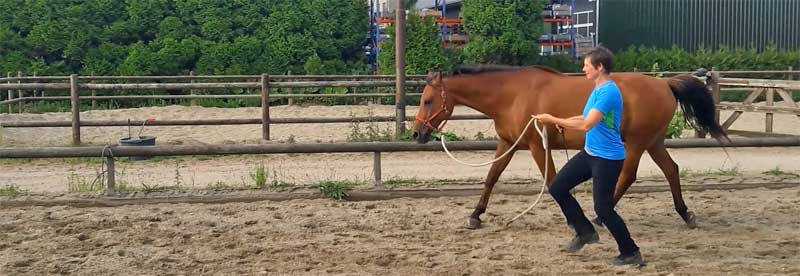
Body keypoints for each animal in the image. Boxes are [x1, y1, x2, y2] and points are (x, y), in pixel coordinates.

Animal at [416, 66, 728, 230]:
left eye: (428, 100)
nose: (418, 132)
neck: (511, 95)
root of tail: (665, 83)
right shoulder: (508, 144)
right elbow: (491, 177)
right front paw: (475, 215)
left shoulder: (537, 146)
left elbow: (552, 180)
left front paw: (573, 219)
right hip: (654, 142)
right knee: (672, 170)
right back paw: (685, 213)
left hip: (637, 143)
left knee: (628, 176)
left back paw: (599, 217)